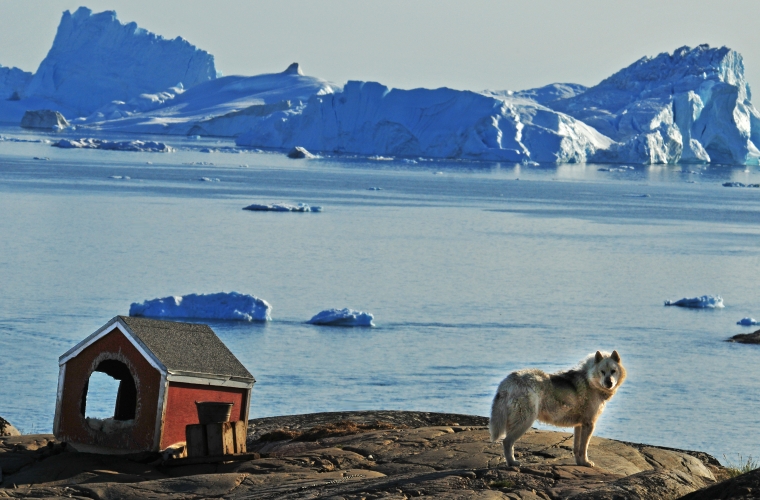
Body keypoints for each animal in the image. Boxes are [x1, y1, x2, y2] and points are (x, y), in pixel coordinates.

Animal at [490, 350, 628, 466]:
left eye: (613, 371)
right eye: (602, 372)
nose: (609, 383)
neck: (590, 380)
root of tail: (508, 381)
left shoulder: (579, 425)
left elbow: (577, 448)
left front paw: (579, 463)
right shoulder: (589, 424)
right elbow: (584, 448)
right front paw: (586, 463)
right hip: (525, 421)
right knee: (506, 442)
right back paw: (512, 463)